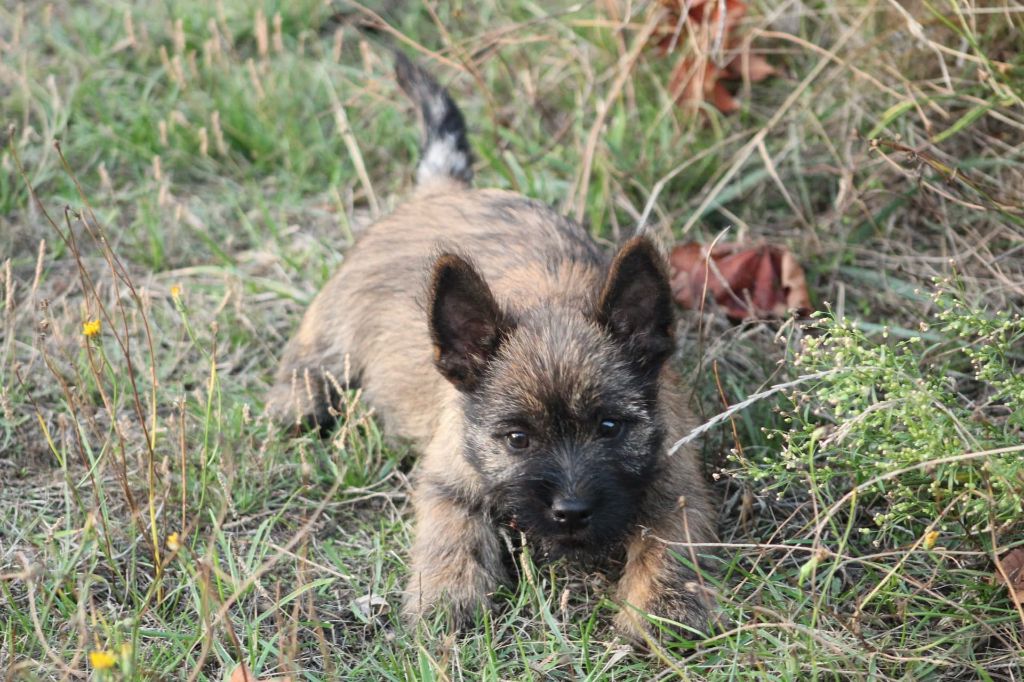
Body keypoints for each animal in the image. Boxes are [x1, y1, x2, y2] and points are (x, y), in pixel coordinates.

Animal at [268, 53, 716, 638]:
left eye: (610, 427)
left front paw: (660, 611)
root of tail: (445, 190)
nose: (571, 511)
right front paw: (448, 601)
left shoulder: (675, 485)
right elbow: (451, 537)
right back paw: (297, 404)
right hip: (335, 327)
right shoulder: (448, 482)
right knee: (308, 358)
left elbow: (668, 543)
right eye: (517, 439)